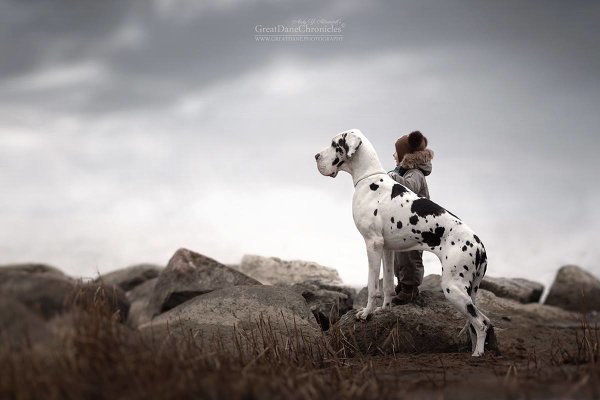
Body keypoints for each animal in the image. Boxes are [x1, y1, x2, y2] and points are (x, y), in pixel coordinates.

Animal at [314, 128, 492, 356]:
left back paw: (478, 353)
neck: (368, 180)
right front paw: (384, 309)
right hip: (470, 289)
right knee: (479, 320)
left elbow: (373, 287)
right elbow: (389, 284)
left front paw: (366, 313)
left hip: (453, 287)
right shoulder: (386, 248)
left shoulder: (372, 244)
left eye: (334, 144)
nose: (316, 156)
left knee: (481, 323)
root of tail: (480, 246)